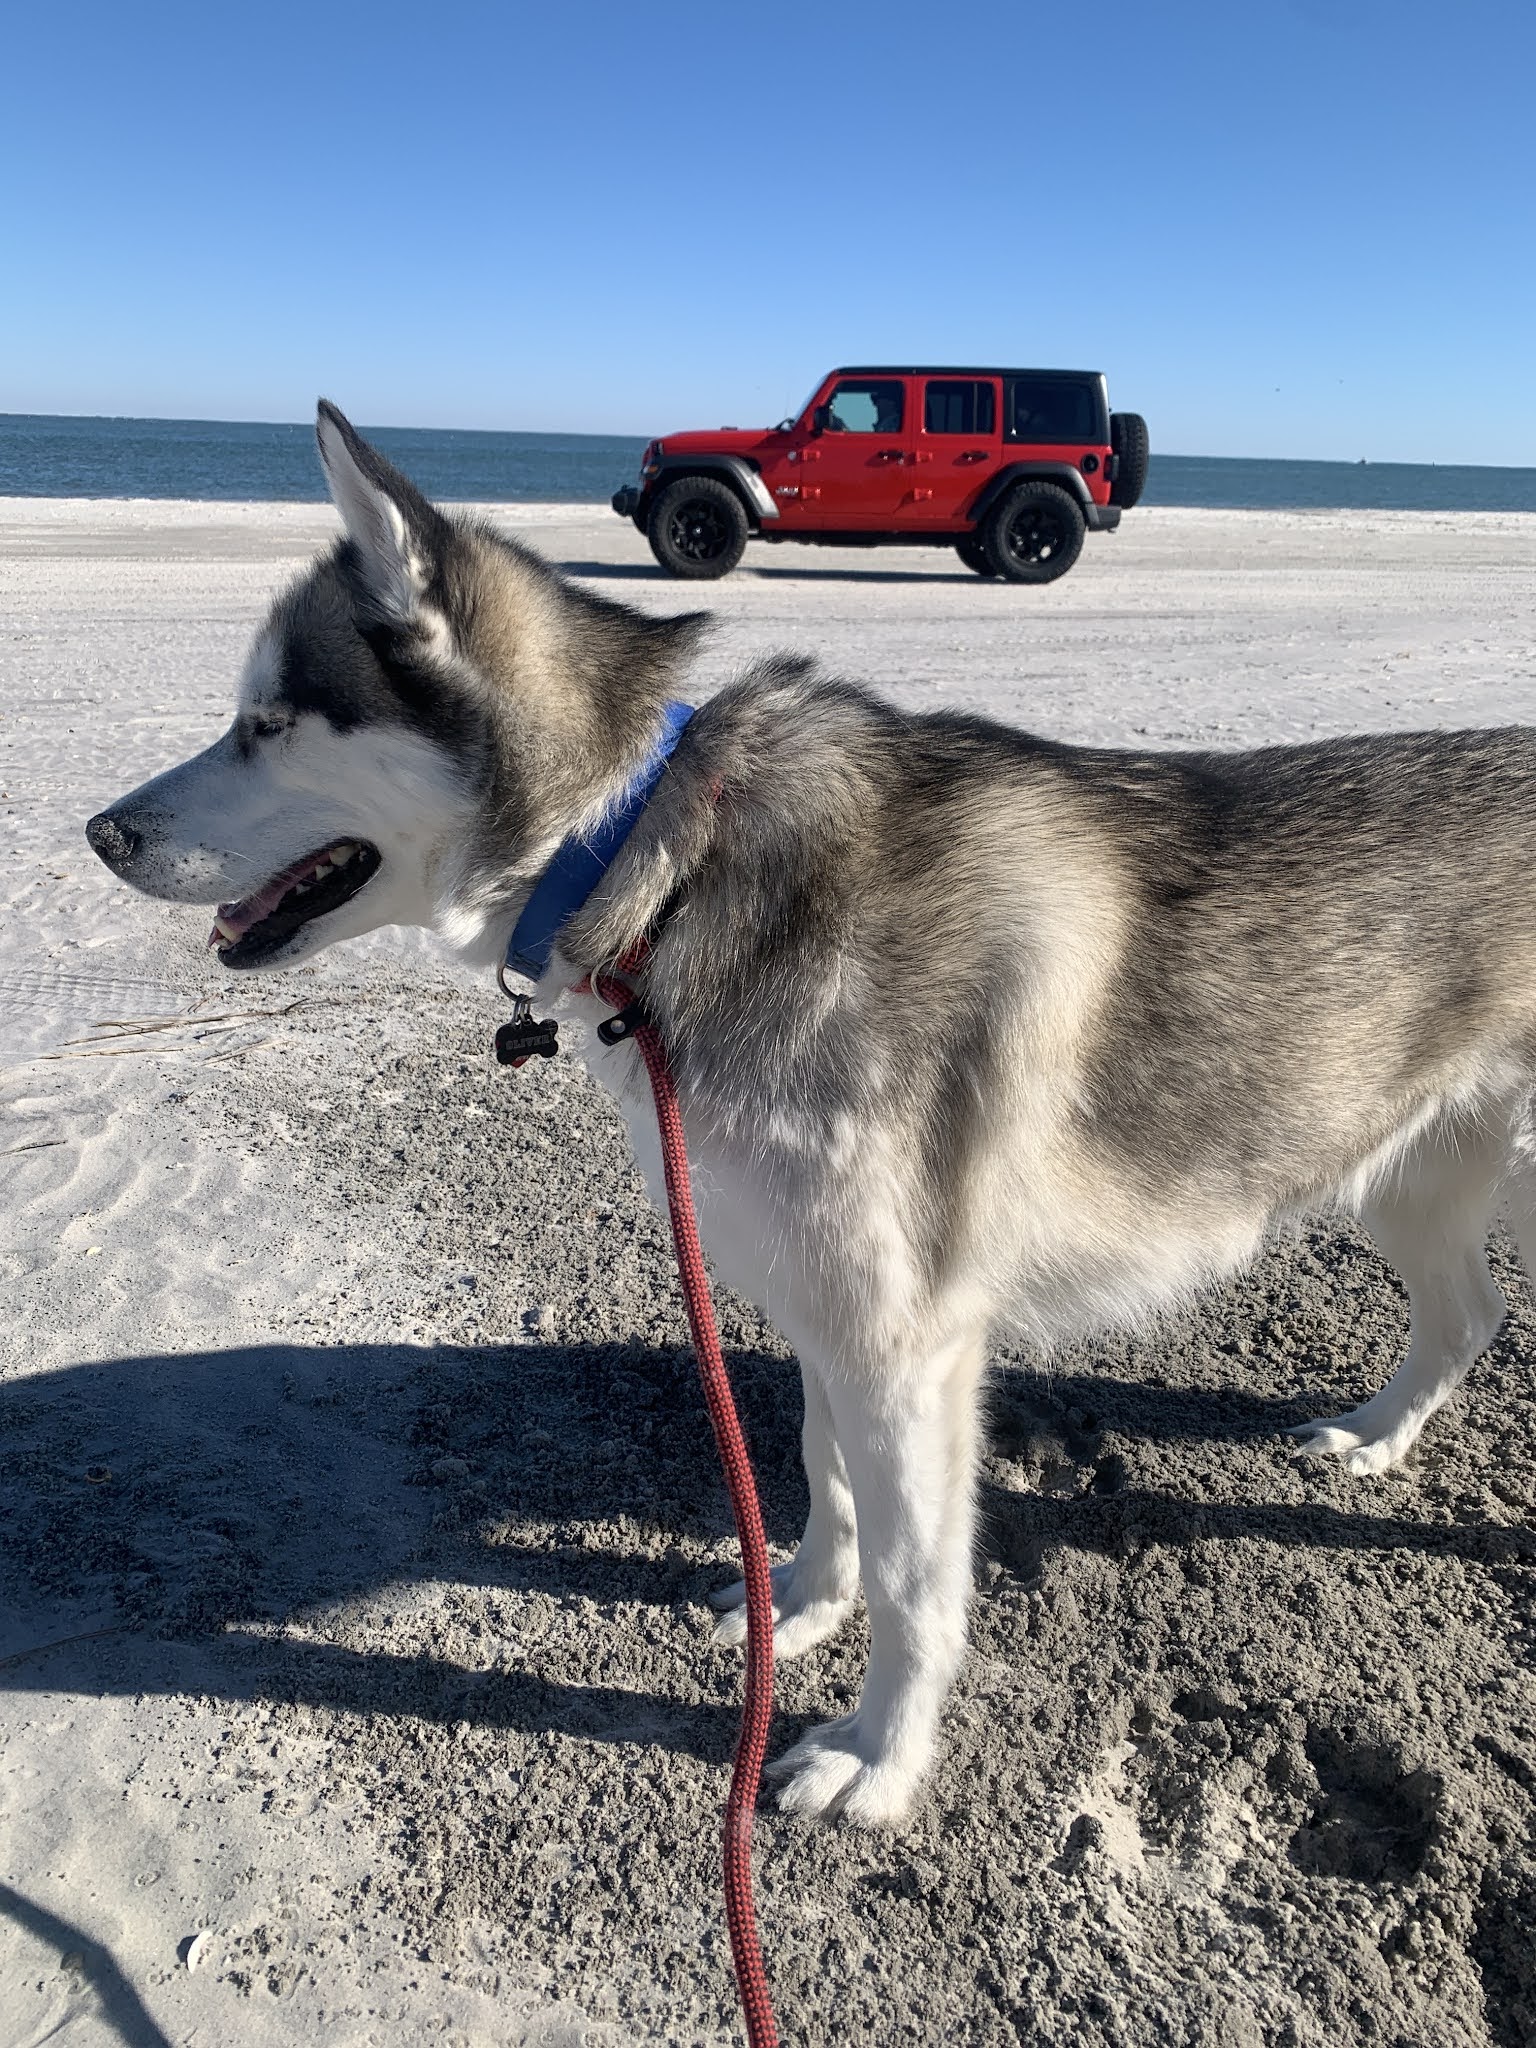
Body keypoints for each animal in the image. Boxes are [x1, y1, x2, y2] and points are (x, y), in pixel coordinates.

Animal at [87, 399, 1536, 1826]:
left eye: (269, 722)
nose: (101, 832)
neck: (656, 854)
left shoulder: (904, 1346)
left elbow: (914, 1582)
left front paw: (883, 1758)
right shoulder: (824, 1316)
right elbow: (821, 1481)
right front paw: (804, 1607)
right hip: (1401, 1176)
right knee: (1468, 1313)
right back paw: (1375, 1436)